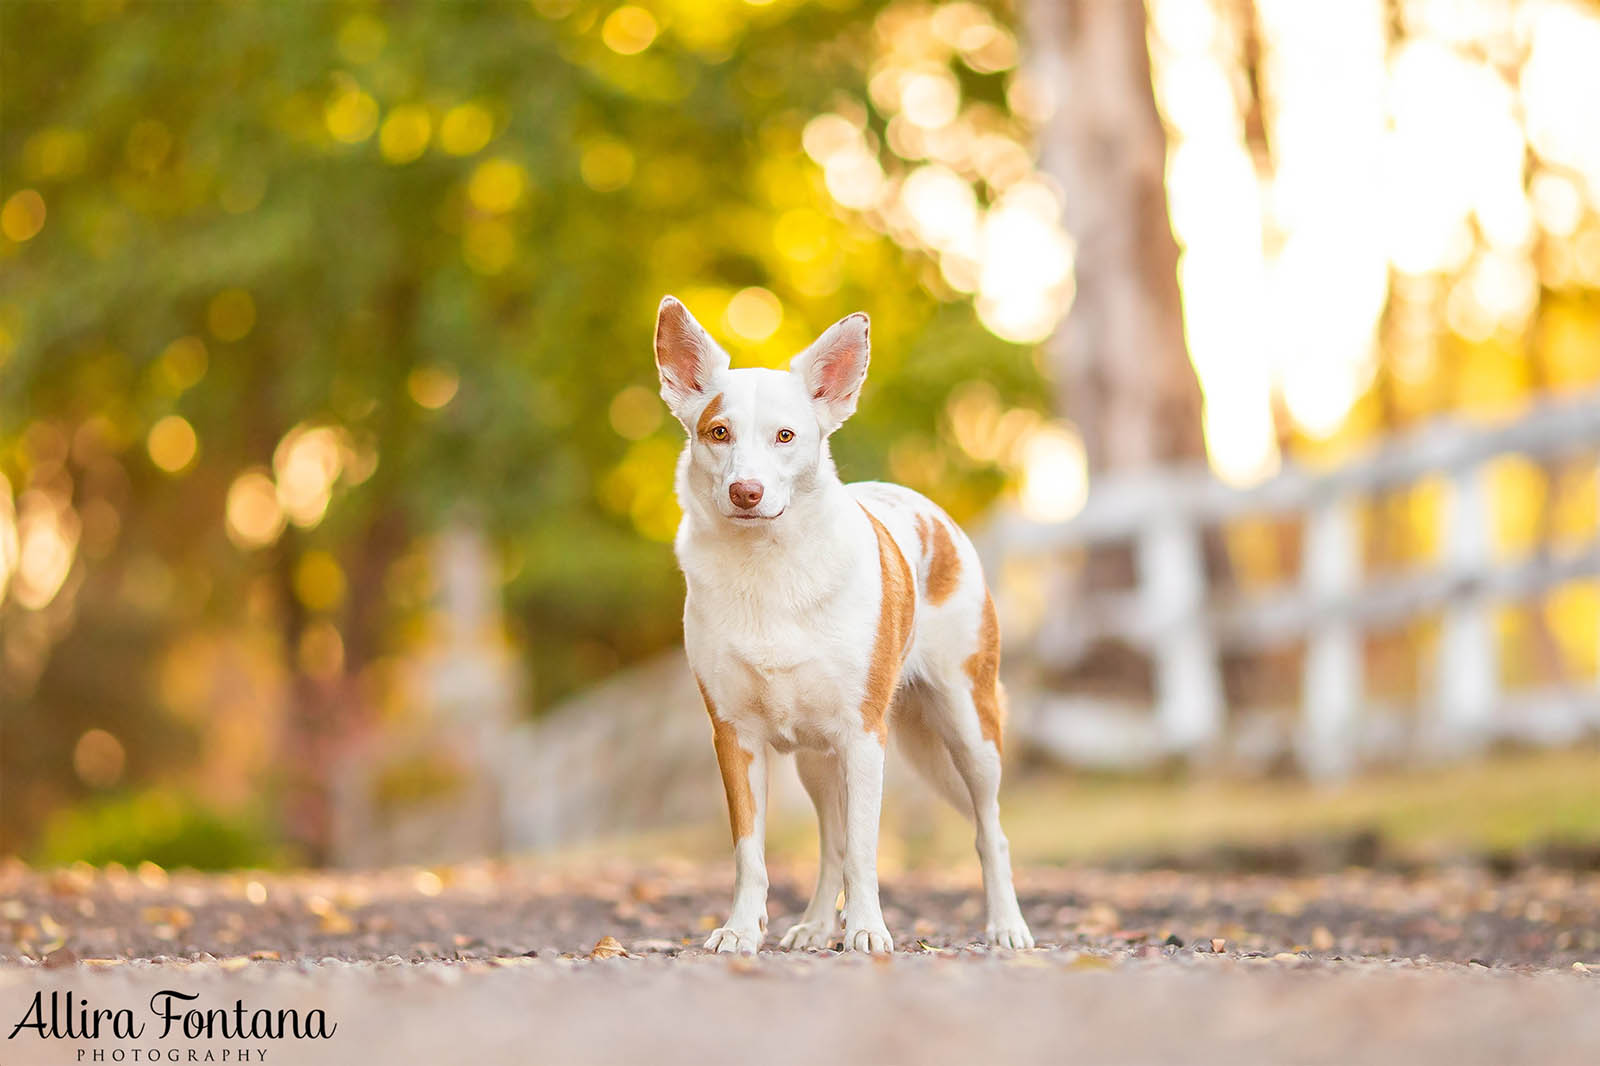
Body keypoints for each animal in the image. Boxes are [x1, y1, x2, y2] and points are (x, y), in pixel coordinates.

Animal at [652, 294, 1036, 947]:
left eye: (785, 436)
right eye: (718, 433)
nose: (746, 492)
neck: (768, 567)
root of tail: (931, 511)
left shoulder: (862, 737)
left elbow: (864, 850)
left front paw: (867, 931)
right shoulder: (735, 737)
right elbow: (751, 851)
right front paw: (740, 930)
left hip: (970, 728)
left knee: (993, 832)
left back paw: (1007, 926)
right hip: (816, 759)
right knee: (829, 843)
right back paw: (810, 927)